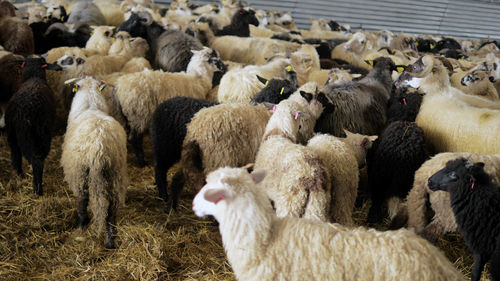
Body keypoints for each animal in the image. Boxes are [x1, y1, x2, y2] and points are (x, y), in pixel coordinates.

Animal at [4, 55, 61, 194]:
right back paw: (37, 189)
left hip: (16, 135)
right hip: (39, 135)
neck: (34, 76)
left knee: (16, 154)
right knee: (37, 161)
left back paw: (19, 175)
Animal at [60, 76, 128, 247]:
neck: (90, 105)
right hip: (116, 172)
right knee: (112, 207)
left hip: (81, 172)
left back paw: (82, 226)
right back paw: (110, 239)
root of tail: (100, 143)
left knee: (83, 199)